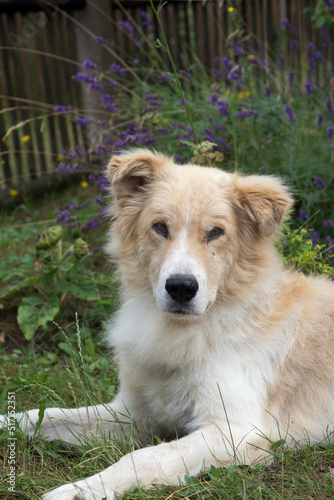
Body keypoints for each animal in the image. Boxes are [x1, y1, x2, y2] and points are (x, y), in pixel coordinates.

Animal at [2, 149, 334, 500]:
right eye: (160, 227)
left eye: (215, 232)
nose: (181, 288)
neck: (186, 331)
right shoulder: (134, 414)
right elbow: (45, 416)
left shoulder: (239, 430)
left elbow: (142, 457)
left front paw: (81, 489)